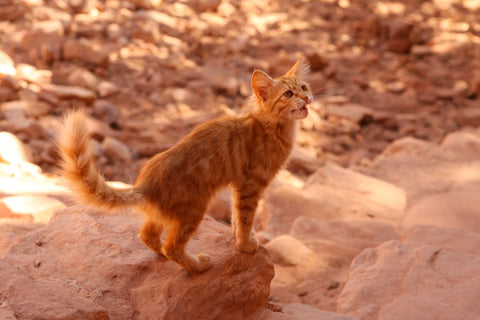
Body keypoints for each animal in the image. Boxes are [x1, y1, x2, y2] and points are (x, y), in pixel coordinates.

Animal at [58, 57, 314, 272]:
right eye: (288, 94)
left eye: (304, 87)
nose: (306, 98)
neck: (273, 126)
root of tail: (145, 185)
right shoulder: (251, 185)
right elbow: (245, 218)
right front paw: (245, 245)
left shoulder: (238, 186)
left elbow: (235, 216)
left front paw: (243, 237)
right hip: (195, 209)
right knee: (171, 246)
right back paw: (198, 265)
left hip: (166, 214)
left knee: (147, 236)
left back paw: (162, 256)